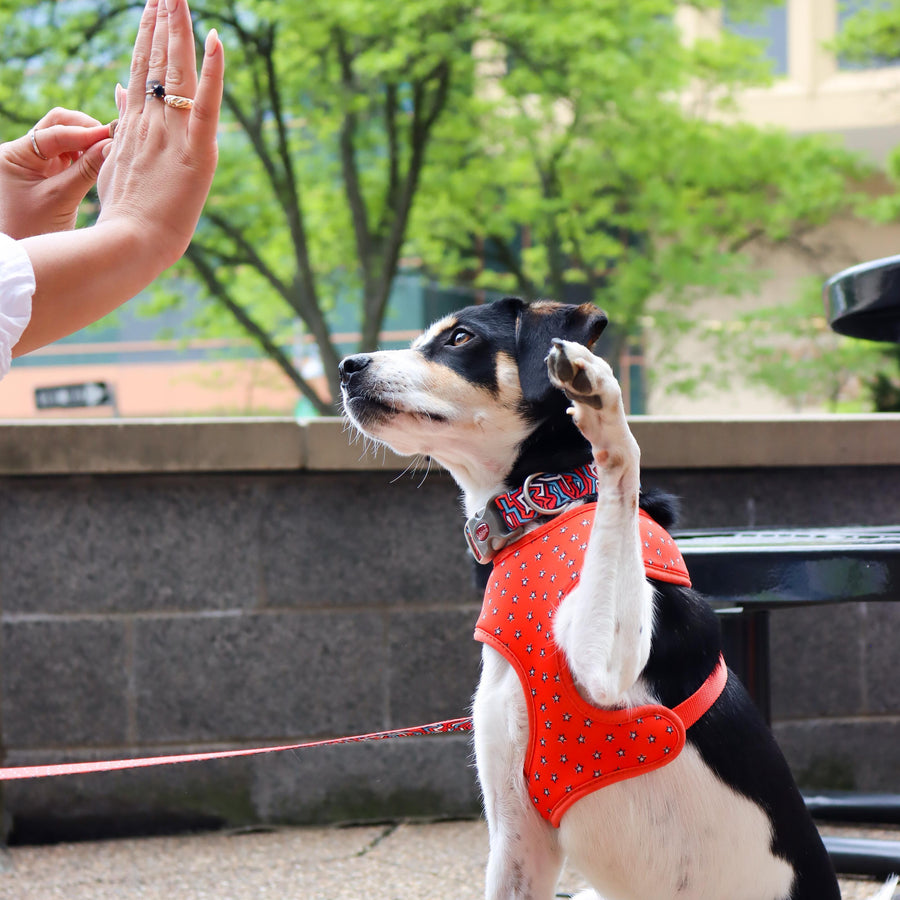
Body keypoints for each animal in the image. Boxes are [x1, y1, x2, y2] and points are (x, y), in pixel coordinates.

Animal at [340, 300, 892, 900]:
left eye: (459, 337)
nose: (347, 366)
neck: (547, 503)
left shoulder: (605, 668)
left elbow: (621, 472)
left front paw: (601, 401)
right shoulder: (517, 841)